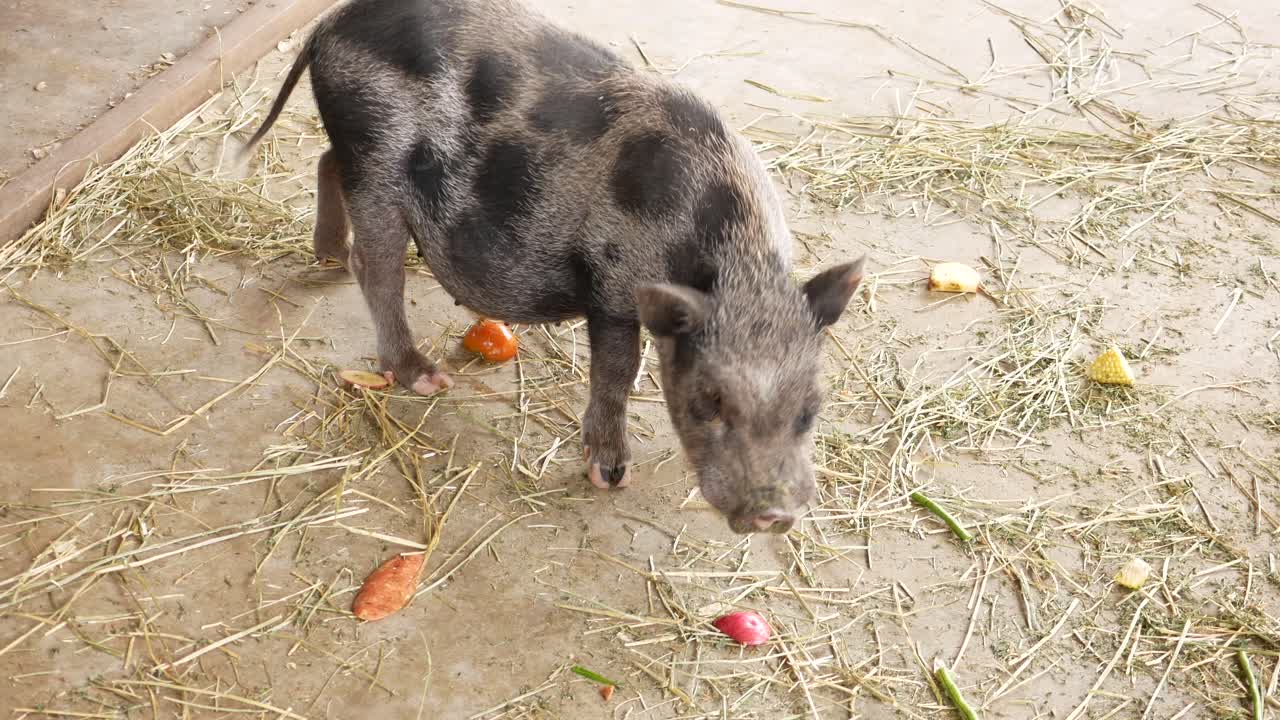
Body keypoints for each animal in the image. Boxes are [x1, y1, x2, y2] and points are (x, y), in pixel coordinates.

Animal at [240, 0, 865, 534]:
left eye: (810, 410)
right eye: (708, 401)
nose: (774, 515)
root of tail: (330, 26)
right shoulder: (613, 284)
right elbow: (616, 370)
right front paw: (611, 476)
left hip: (357, 153)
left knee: (326, 163)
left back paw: (328, 256)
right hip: (375, 155)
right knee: (376, 265)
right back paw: (425, 376)